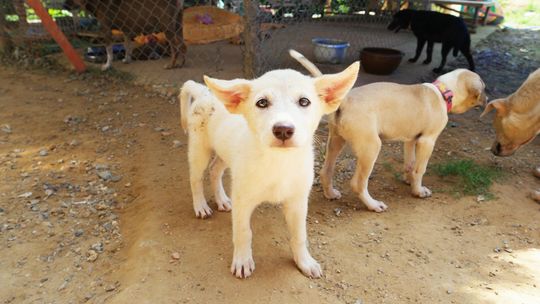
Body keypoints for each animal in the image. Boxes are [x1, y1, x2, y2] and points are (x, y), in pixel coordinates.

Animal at [179, 63, 360, 280]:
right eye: (262, 103)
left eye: (304, 101)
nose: (283, 130)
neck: (278, 163)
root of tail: (203, 91)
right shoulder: (242, 200)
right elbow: (243, 232)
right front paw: (242, 261)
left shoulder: (298, 201)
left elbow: (299, 235)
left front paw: (304, 262)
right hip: (200, 149)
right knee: (195, 179)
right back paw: (201, 206)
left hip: (225, 152)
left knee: (215, 170)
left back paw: (222, 200)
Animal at [288, 50, 488, 211]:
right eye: (484, 88)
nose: (488, 99)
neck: (442, 91)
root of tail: (345, 100)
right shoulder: (427, 141)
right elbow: (420, 169)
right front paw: (418, 191)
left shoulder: (411, 140)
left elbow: (410, 163)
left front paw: (409, 180)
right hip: (371, 147)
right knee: (357, 184)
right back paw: (373, 205)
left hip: (336, 141)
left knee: (326, 171)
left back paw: (330, 194)